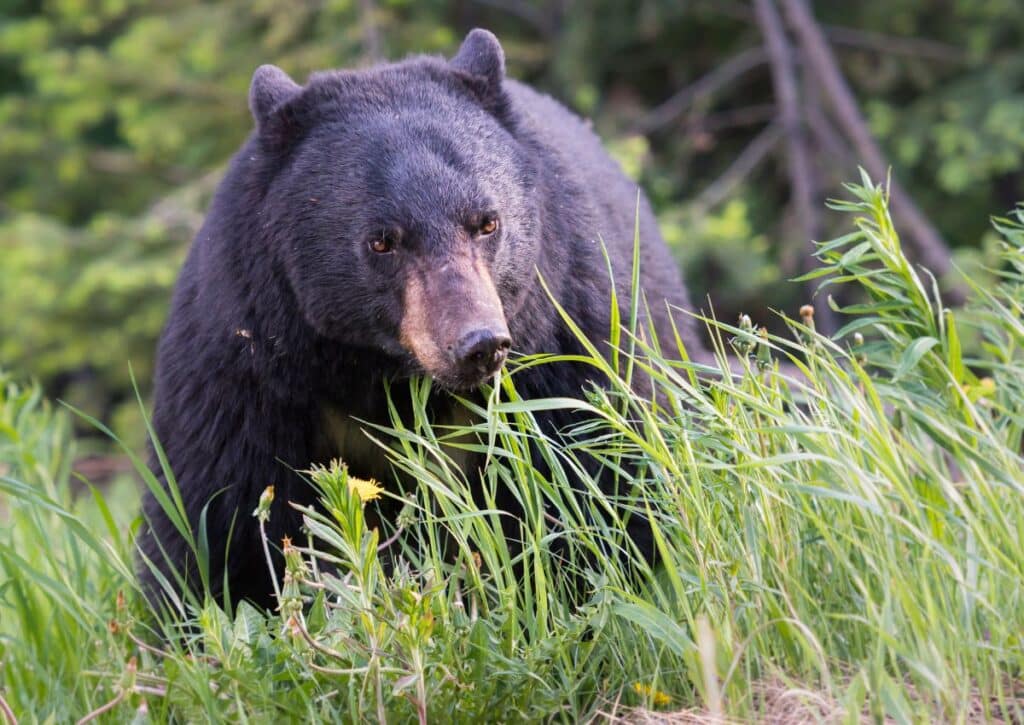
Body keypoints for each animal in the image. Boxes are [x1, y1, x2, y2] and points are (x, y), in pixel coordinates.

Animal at [140, 29, 708, 610]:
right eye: (382, 240)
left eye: (487, 222)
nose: (479, 343)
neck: (385, 376)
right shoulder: (247, 367)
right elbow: (216, 516)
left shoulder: (564, 332)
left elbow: (598, 471)